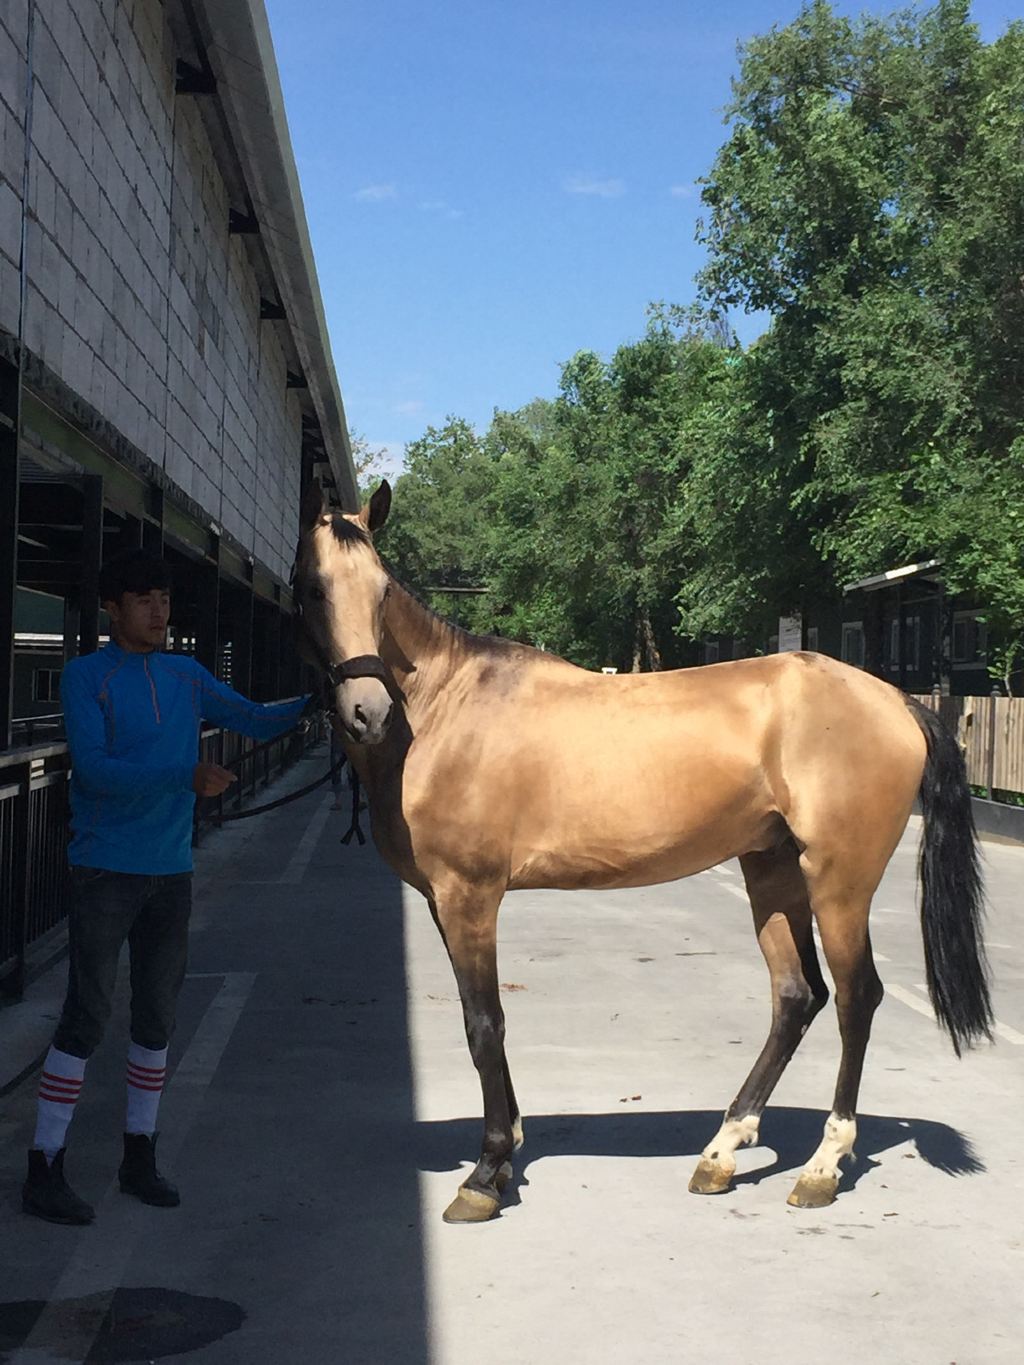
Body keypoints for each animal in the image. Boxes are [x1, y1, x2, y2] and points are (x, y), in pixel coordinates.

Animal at [294, 483, 993, 1228]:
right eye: (313, 588)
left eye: (380, 591)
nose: (368, 712)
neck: (445, 709)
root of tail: (895, 699)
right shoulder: (442, 903)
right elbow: (485, 1021)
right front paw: (508, 1149)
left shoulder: (469, 897)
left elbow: (484, 1024)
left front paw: (486, 1172)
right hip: (773, 873)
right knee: (796, 994)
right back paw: (721, 1152)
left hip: (839, 882)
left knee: (857, 998)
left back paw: (822, 1166)